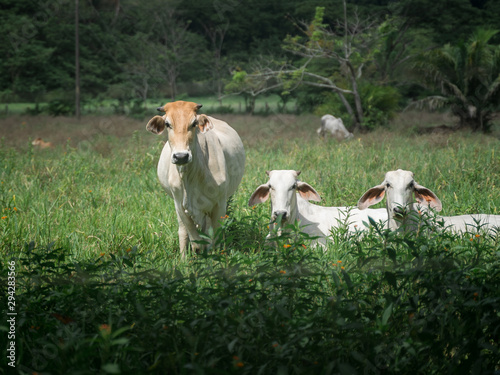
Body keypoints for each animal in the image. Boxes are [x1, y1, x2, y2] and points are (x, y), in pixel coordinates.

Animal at [146, 100, 245, 258]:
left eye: (194, 123)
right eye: (167, 124)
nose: (181, 156)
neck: (191, 176)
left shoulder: (219, 204)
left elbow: (215, 236)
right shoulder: (180, 205)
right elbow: (194, 241)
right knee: (183, 232)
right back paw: (183, 258)